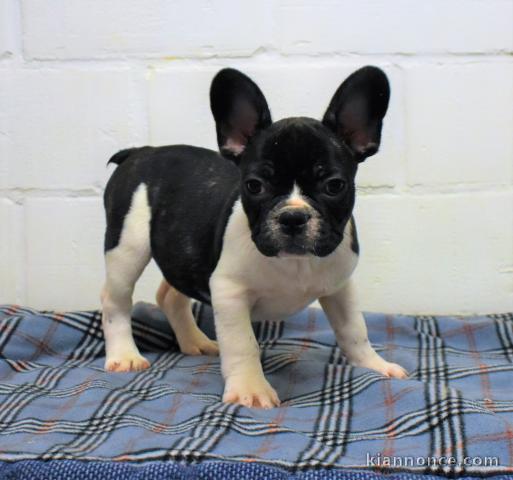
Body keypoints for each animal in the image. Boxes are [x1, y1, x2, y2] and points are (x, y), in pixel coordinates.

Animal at [101, 64, 408, 408]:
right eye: (254, 185)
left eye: (334, 185)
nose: (292, 216)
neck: (295, 263)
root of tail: (142, 151)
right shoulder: (229, 293)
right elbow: (242, 343)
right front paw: (251, 389)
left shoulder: (340, 287)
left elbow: (354, 328)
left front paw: (373, 365)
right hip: (128, 246)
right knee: (116, 300)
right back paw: (125, 355)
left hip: (182, 251)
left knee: (169, 295)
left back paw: (195, 341)